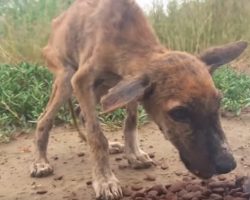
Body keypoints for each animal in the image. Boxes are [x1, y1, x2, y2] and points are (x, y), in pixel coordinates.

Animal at [29, 0, 248, 198]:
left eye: (218, 103)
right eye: (178, 113)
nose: (227, 164)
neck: (125, 35)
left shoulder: (129, 87)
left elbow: (130, 122)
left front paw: (133, 154)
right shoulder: (82, 81)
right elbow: (96, 135)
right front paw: (104, 180)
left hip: (103, 89)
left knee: (82, 114)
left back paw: (111, 146)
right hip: (67, 78)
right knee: (45, 119)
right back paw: (40, 162)